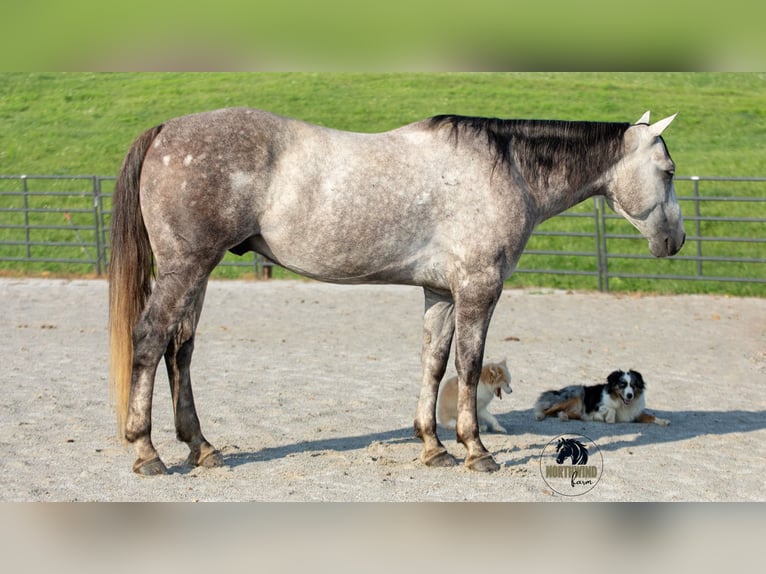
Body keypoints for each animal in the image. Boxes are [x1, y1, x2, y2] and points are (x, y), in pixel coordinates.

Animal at [109, 107, 685, 475]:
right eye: (669, 169)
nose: (675, 240)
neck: (505, 170)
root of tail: (166, 131)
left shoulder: (440, 294)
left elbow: (433, 363)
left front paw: (432, 446)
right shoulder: (479, 289)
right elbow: (469, 367)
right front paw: (475, 450)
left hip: (197, 274)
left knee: (180, 351)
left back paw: (201, 448)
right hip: (185, 269)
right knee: (150, 341)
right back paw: (147, 453)